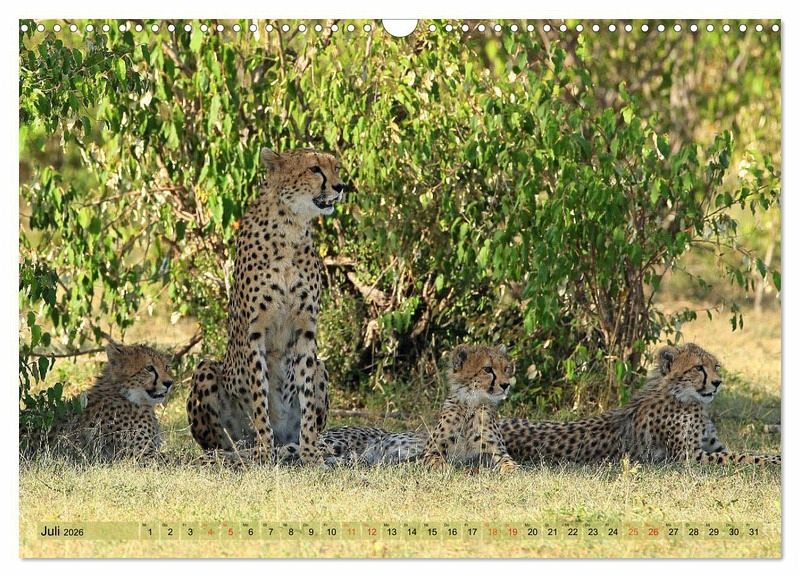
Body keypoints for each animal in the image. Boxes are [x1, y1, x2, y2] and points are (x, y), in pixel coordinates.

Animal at [187, 147, 344, 465]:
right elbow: (259, 393)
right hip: (206, 370)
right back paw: (244, 451)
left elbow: (307, 397)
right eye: (314, 169)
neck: (291, 228)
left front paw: (310, 451)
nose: (340, 187)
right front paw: (263, 449)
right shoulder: (254, 331)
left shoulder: (305, 330)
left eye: (336, 167)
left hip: (322, 368)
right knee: (221, 444)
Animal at [499, 343, 781, 466]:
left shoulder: (714, 447)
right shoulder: (689, 457)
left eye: (716, 366)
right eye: (699, 368)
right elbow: (746, 457)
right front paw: (776, 463)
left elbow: (753, 452)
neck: (683, 397)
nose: (718, 382)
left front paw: (777, 455)